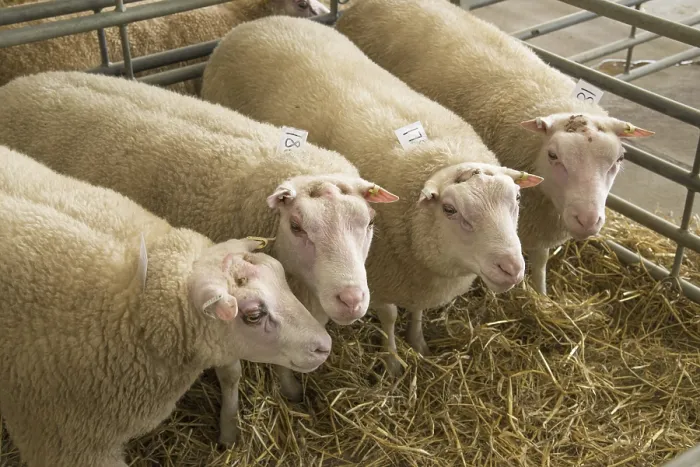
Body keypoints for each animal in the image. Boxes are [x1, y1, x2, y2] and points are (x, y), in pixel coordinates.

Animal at [200, 16, 544, 376]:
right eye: (450, 209)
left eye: (517, 200)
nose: (512, 268)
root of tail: (260, 21)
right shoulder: (378, 274)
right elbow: (390, 316)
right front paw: (392, 362)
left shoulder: (414, 280)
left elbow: (417, 310)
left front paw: (418, 342)